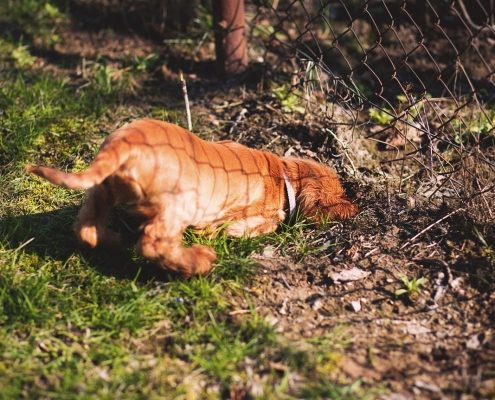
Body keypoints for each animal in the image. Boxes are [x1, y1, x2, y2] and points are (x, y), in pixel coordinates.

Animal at [28, 119, 356, 276]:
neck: (284, 175)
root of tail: (125, 144)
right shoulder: (249, 221)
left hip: (101, 190)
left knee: (86, 228)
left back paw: (116, 240)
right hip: (178, 204)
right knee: (153, 243)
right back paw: (198, 261)